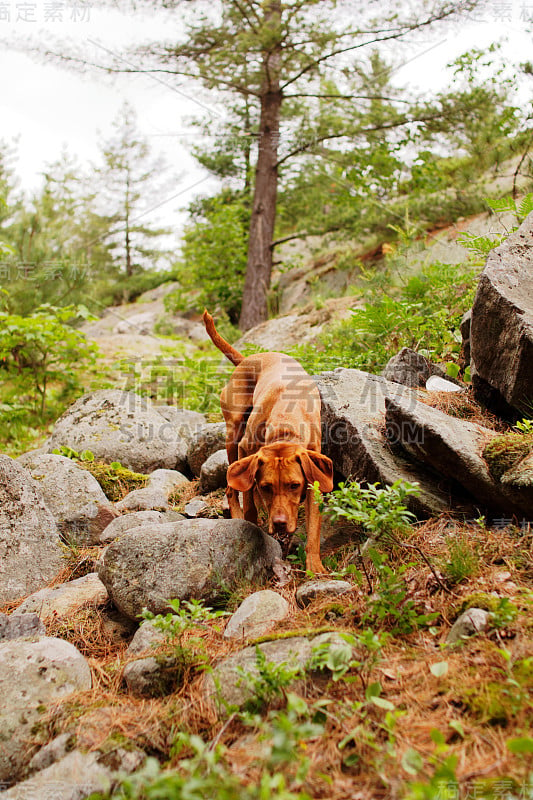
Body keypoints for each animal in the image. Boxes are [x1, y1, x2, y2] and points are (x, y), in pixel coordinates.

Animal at [202, 310, 330, 572]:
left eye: (294, 485)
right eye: (267, 486)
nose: (279, 523)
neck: (286, 422)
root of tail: (246, 359)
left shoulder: (315, 471)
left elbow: (313, 526)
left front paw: (314, 565)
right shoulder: (246, 451)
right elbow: (249, 498)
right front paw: (252, 525)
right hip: (233, 435)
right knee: (231, 489)